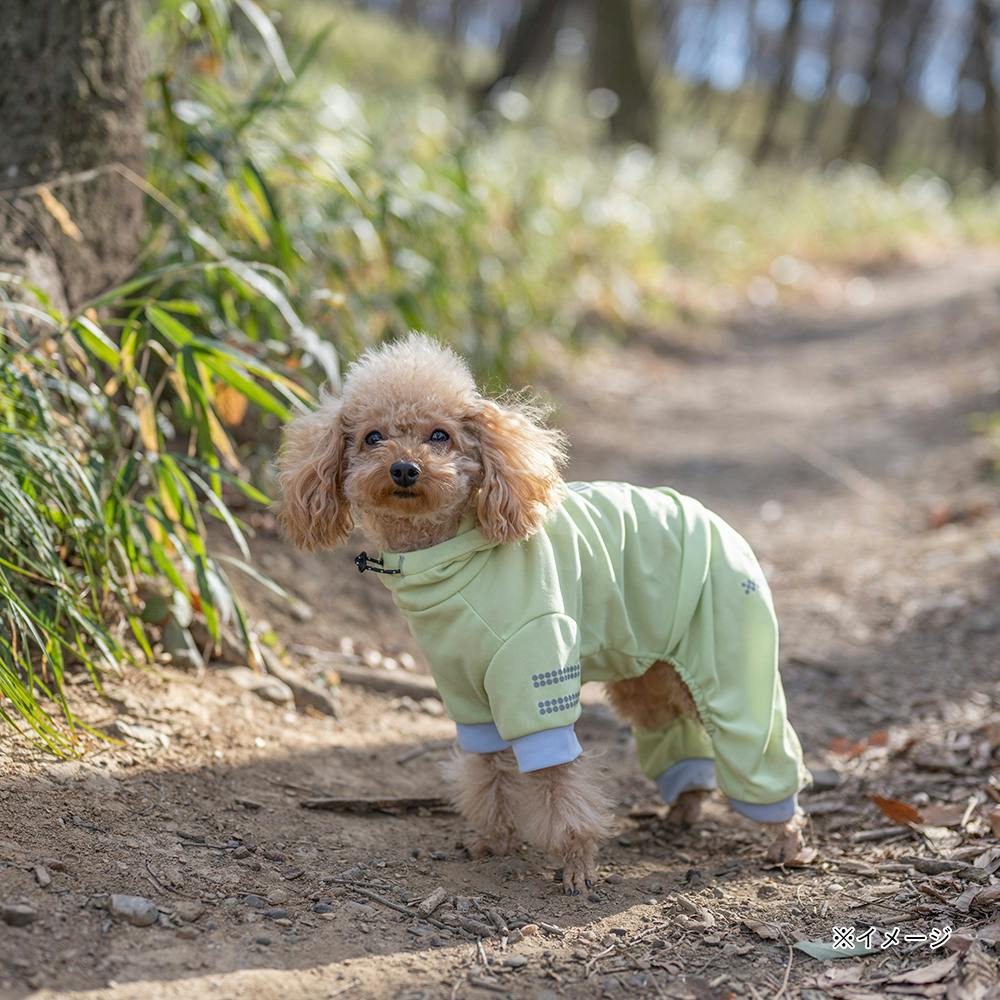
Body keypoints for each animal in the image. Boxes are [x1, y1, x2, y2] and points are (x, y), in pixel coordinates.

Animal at [278, 332, 808, 896]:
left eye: (440, 435)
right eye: (372, 437)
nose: (404, 469)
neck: (447, 558)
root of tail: (715, 520)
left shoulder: (535, 673)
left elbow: (558, 782)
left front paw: (576, 864)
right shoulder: (465, 689)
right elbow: (487, 769)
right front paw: (492, 839)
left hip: (730, 662)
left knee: (758, 741)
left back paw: (786, 839)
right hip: (652, 675)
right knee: (674, 726)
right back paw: (684, 810)